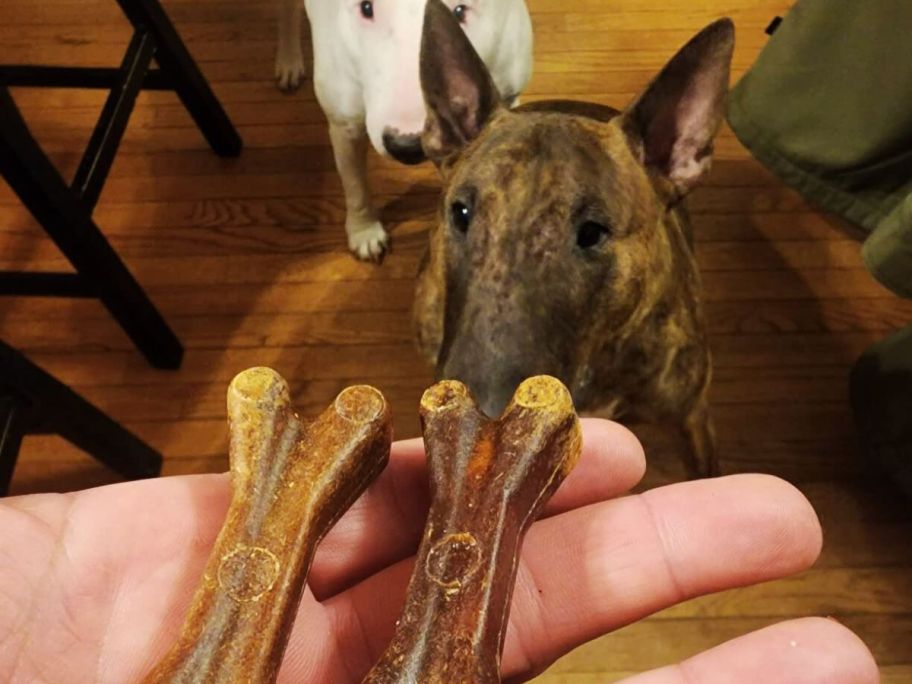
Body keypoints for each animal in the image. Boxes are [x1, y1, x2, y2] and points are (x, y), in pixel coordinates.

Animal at [274, 0, 532, 260]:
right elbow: (355, 183)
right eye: (366, 8)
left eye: (460, 10)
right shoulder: (345, 125)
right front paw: (364, 232)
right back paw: (288, 61)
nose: (407, 146)